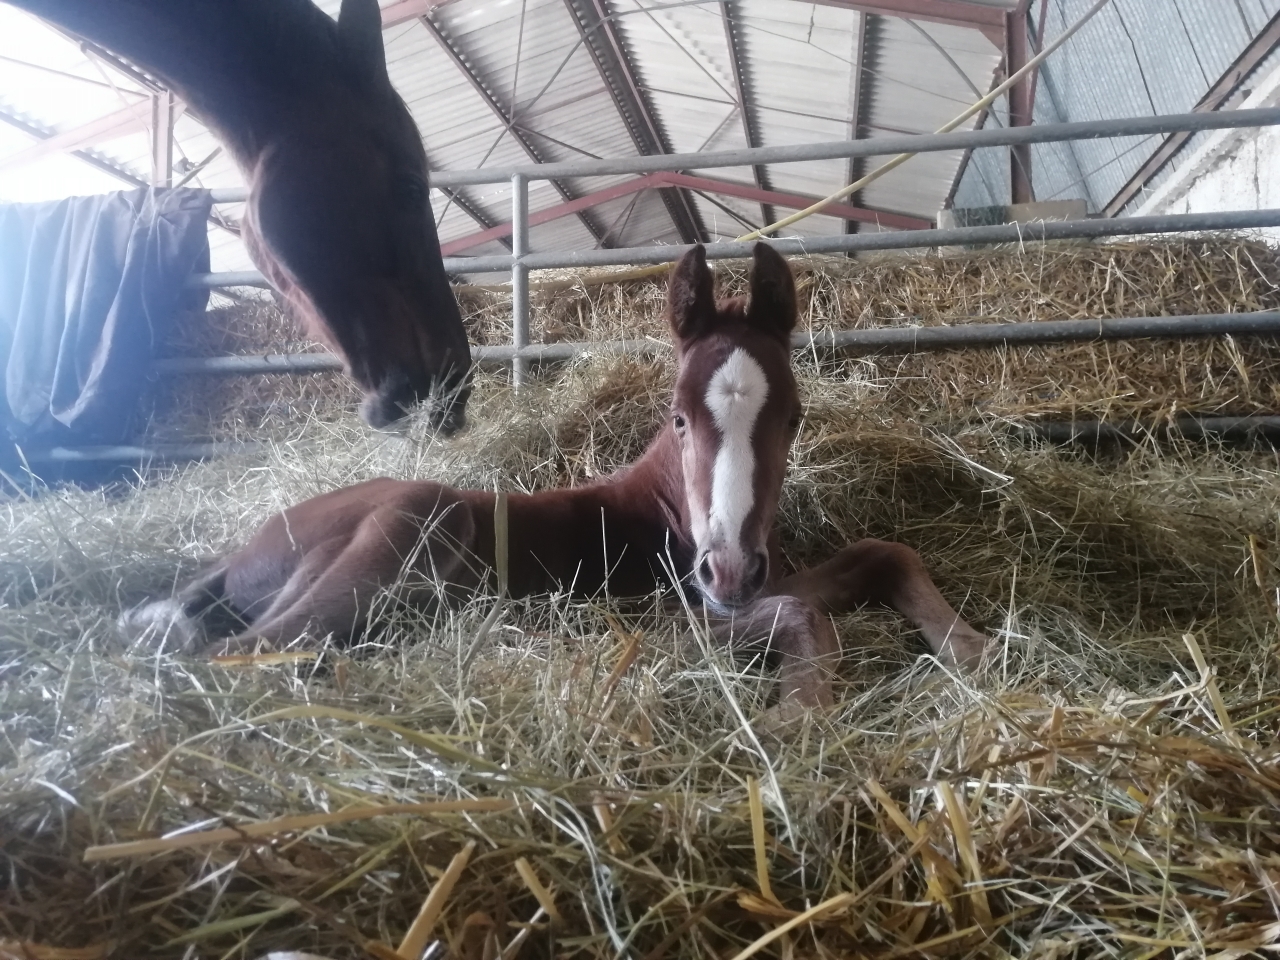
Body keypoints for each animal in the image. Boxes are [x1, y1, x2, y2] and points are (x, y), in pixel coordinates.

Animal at [123, 244, 986, 711]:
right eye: (678, 418)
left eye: (796, 416)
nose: (730, 569)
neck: (668, 517)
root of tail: (239, 552)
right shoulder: (664, 621)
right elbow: (803, 617)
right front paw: (798, 713)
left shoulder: (752, 588)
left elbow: (879, 554)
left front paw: (970, 645)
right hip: (412, 527)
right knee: (241, 655)